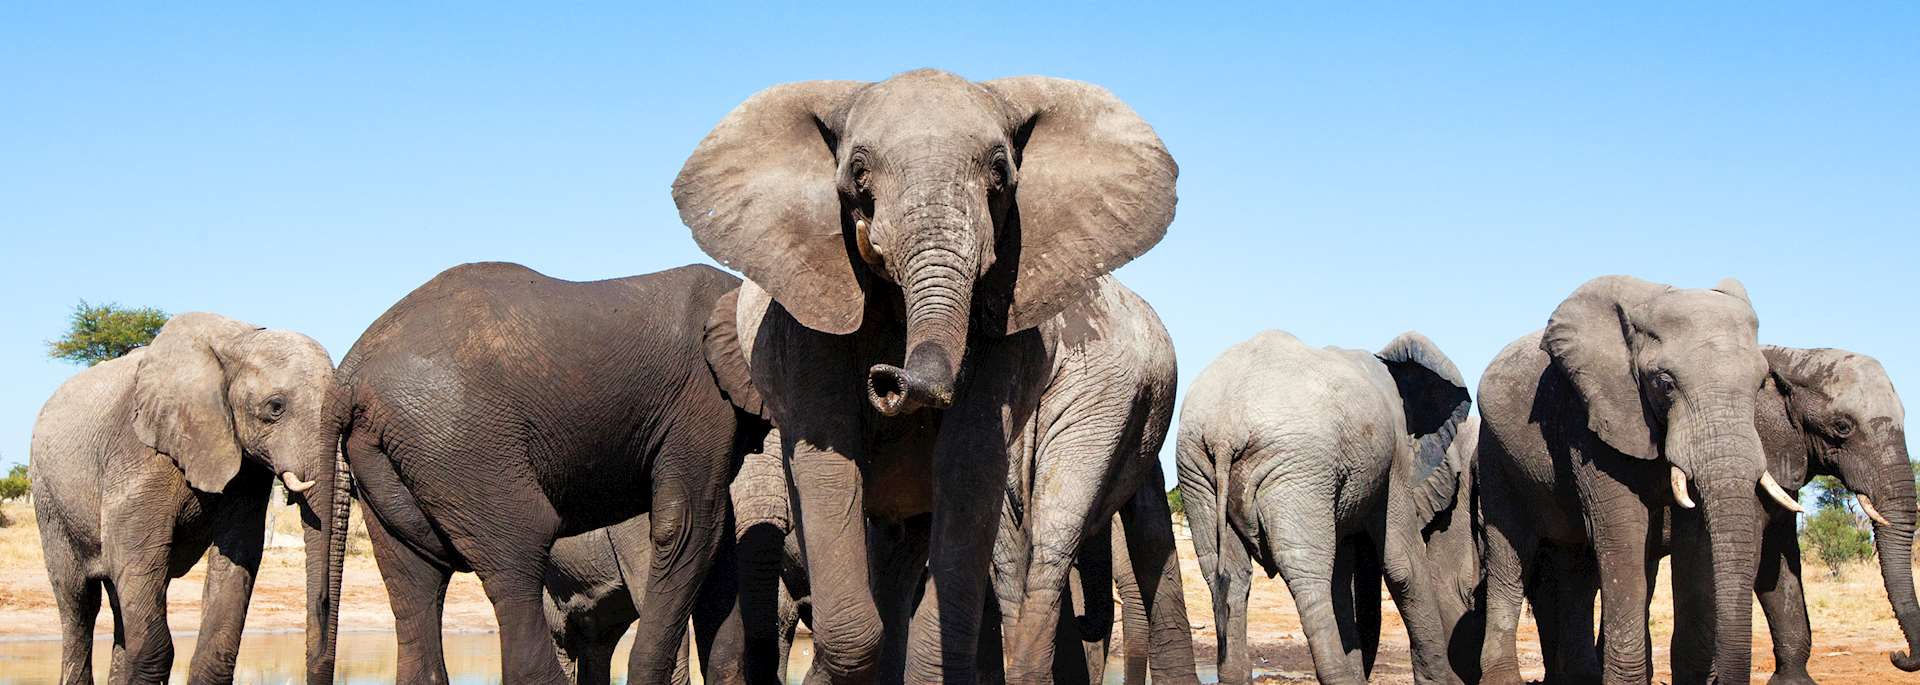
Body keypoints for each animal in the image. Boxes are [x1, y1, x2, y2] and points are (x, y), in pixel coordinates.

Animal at [29, 312, 337, 684]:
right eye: (275, 407)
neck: (238, 341)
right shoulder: (138, 452)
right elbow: (138, 553)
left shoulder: (244, 467)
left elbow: (238, 554)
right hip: (48, 497)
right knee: (79, 602)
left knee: (119, 599)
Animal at [324, 262, 769, 685]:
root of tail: (347, 379)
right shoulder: (703, 399)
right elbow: (687, 526)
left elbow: (719, 542)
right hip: (458, 440)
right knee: (519, 553)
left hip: (388, 457)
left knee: (413, 576)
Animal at [674, 68, 1179, 683]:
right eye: (858, 172)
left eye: (1000, 175)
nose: (887, 380)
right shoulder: (805, 311)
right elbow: (829, 457)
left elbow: (969, 461)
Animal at [1175, 330, 1474, 685]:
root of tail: (1225, 429)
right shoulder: (1396, 459)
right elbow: (1403, 567)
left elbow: (1343, 575)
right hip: (1296, 466)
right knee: (1307, 571)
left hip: (1198, 468)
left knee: (1227, 572)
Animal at [1475, 275, 1801, 684]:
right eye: (1665, 384)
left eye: (1760, 386)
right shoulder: (1592, 418)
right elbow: (1622, 533)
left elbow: (1694, 543)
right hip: (1494, 455)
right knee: (1509, 558)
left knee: (1576, 571)